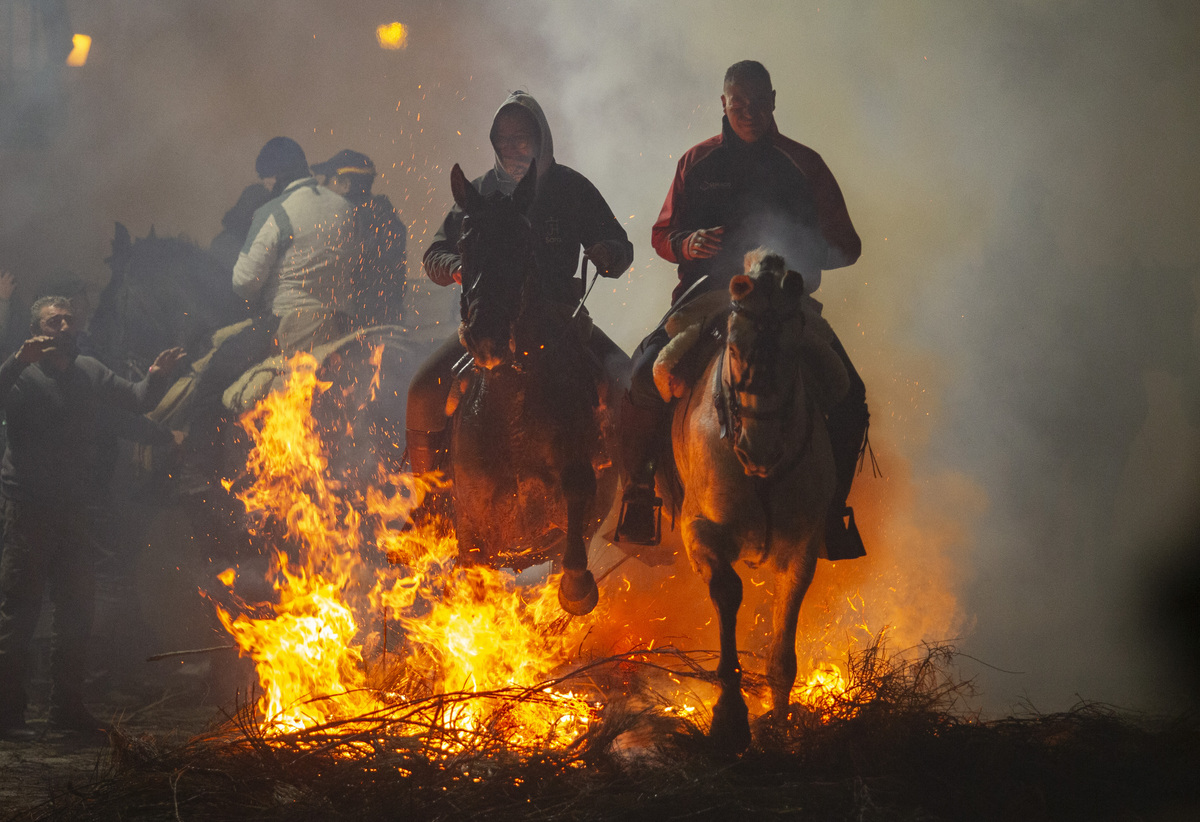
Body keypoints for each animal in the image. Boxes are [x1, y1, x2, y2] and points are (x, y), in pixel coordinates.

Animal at [672, 248, 840, 748]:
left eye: (794, 345)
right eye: (732, 344)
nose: (759, 448)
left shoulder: (802, 549)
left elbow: (782, 649)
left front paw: (779, 727)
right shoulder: (698, 530)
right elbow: (728, 592)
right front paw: (729, 717)